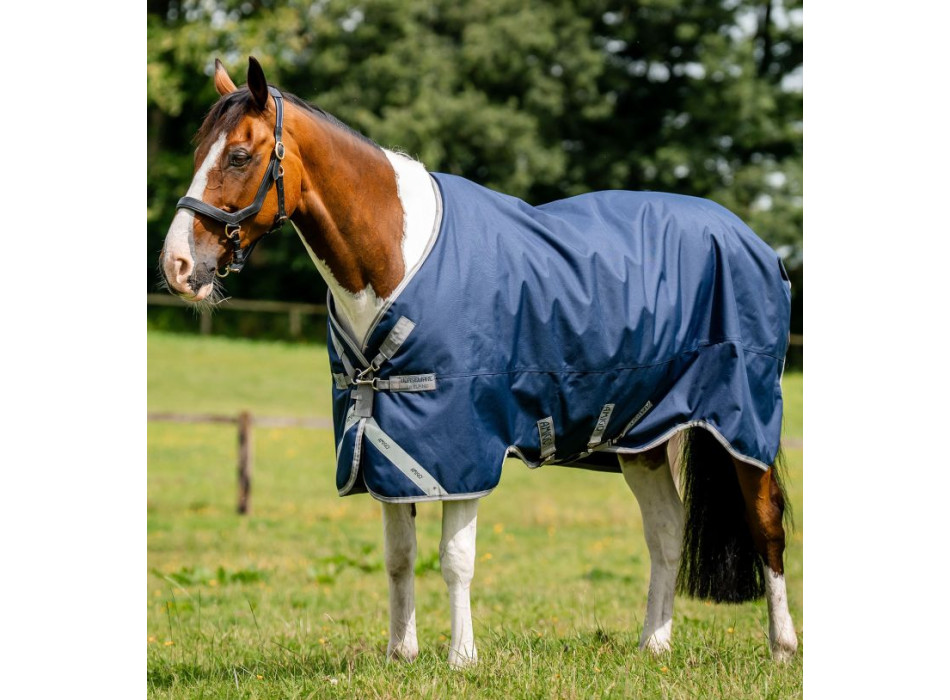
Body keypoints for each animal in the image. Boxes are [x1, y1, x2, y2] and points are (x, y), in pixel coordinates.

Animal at [159, 57, 798, 667]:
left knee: (765, 524)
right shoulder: (386, 445)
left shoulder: (460, 447)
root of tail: (751, 240)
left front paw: (461, 658)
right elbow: (399, 556)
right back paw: (654, 646)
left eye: (239, 155)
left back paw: (781, 647)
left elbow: (454, 558)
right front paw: (400, 653)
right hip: (641, 435)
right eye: (196, 151)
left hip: (742, 424)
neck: (395, 256)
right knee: (666, 532)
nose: (177, 266)